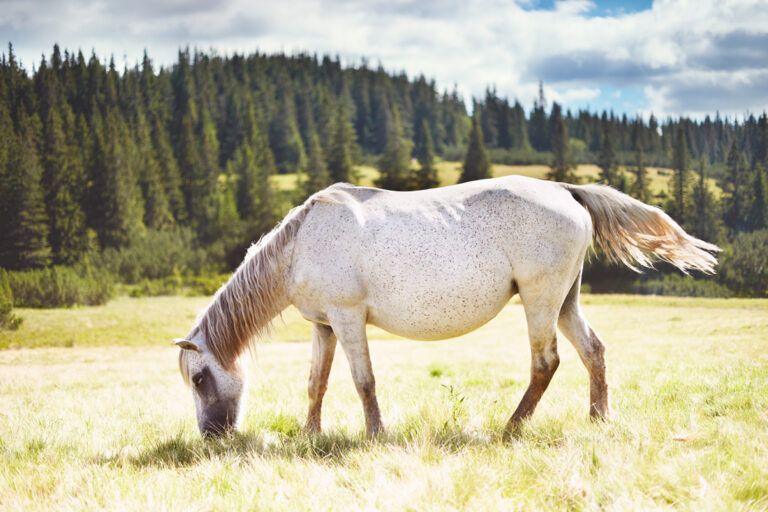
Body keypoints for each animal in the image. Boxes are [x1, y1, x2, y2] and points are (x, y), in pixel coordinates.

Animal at [175, 175, 719, 438]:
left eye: (200, 378)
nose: (211, 436)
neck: (301, 244)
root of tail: (566, 189)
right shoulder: (323, 327)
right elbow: (317, 383)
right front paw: (311, 435)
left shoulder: (349, 320)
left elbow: (363, 380)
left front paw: (375, 433)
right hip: (565, 302)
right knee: (594, 353)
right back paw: (598, 419)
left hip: (541, 301)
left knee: (546, 363)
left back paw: (512, 427)